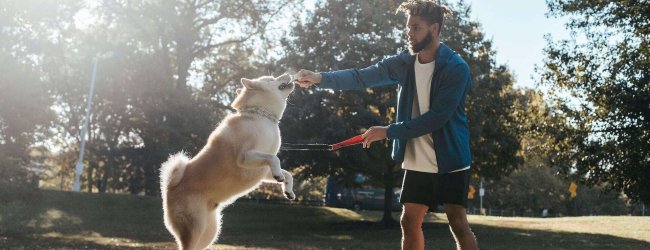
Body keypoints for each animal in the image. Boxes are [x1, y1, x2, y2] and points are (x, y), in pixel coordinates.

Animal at [160, 73, 296, 249]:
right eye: (272, 78)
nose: (289, 73)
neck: (261, 116)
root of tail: (170, 188)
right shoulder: (245, 157)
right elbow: (274, 158)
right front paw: (280, 176)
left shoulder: (263, 170)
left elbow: (287, 173)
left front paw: (288, 190)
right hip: (195, 227)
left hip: (210, 232)